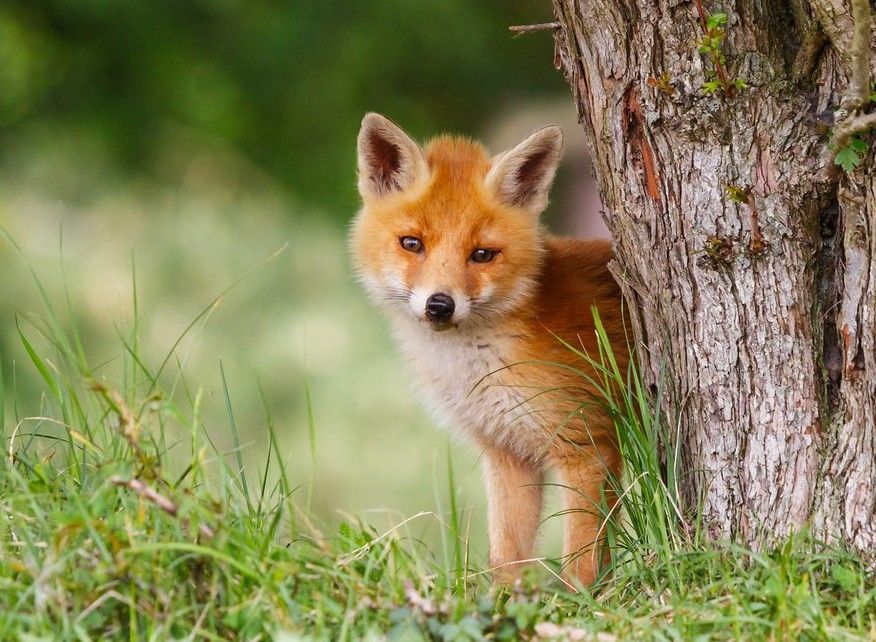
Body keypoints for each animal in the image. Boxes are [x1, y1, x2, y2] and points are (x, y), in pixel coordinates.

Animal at [350, 111, 628, 584]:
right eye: (412, 244)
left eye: (482, 254)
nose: (439, 305)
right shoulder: (508, 453)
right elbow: (507, 556)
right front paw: (505, 602)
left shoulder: (587, 446)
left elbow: (582, 559)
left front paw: (585, 602)